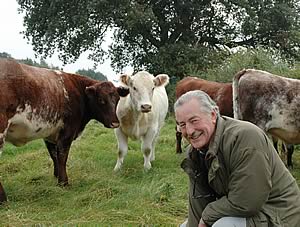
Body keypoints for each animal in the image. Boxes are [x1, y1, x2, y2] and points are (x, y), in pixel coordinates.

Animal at [0, 58, 129, 204]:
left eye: (117, 99)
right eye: (101, 100)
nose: (115, 123)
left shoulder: (50, 133)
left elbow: (54, 155)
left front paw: (56, 176)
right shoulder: (67, 132)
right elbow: (62, 156)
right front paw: (64, 183)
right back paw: (3, 199)